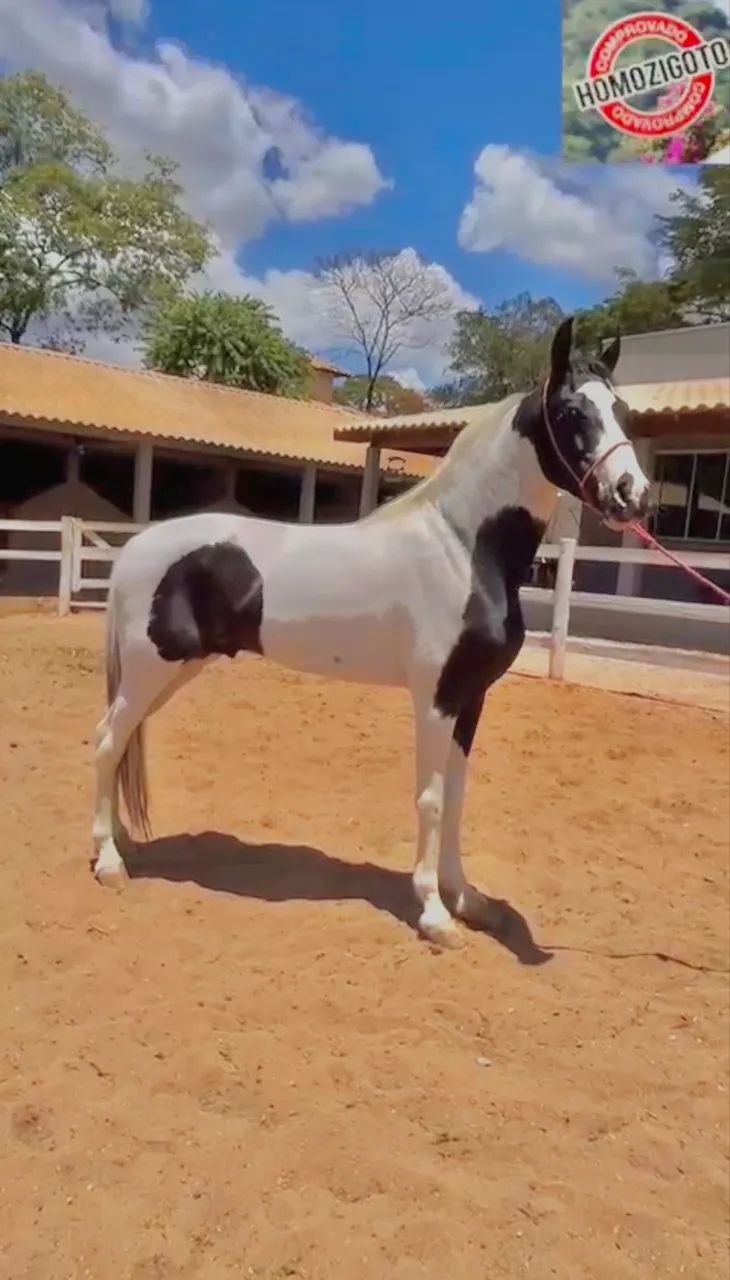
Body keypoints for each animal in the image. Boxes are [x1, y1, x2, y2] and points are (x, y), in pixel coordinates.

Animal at [92, 317, 650, 948]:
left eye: (623, 410)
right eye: (572, 411)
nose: (632, 495)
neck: (463, 547)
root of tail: (135, 548)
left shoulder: (471, 699)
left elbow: (456, 797)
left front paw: (466, 899)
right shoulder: (435, 699)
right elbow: (431, 800)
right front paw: (434, 913)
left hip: (171, 673)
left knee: (118, 743)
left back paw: (122, 844)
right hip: (149, 669)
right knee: (107, 743)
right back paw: (109, 862)